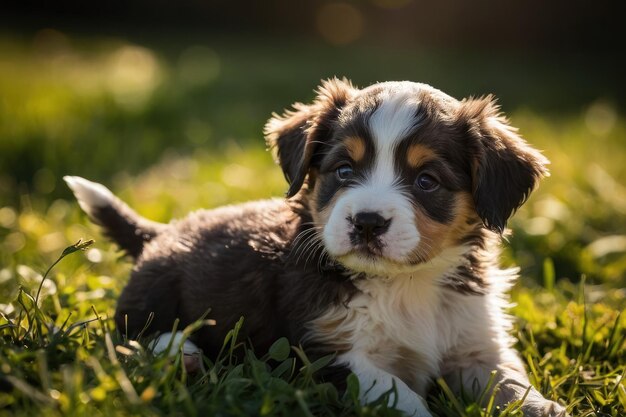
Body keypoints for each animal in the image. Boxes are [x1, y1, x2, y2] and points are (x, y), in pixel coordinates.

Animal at [66, 79, 568, 416]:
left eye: (427, 181)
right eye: (344, 170)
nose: (367, 222)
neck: (406, 284)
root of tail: (160, 233)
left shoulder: (476, 345)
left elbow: (513, 385)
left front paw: (546, 407)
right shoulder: (328, 353)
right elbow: (401, 394)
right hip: (155, 295)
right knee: (134, 331)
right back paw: (181, 353)